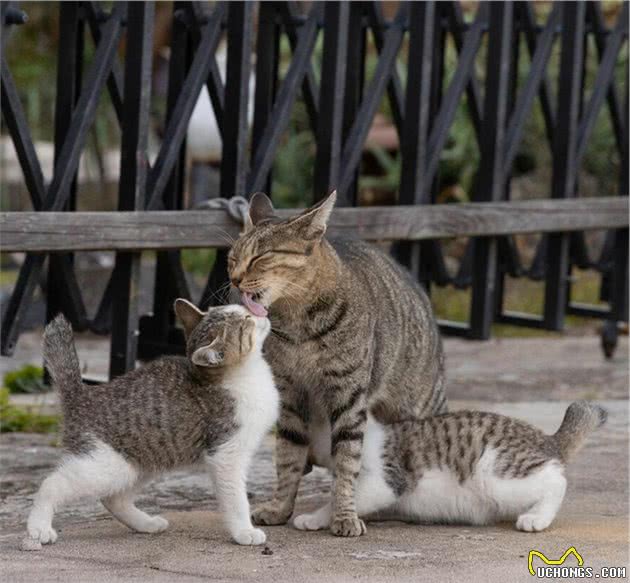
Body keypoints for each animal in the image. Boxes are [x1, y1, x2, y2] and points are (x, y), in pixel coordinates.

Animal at [23, 302, 278, 552]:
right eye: (245, 320)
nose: (260, 313)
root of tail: (82, 395)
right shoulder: (225, 454)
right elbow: (236, 498)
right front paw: (244, 531)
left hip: (145, 460)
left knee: (113, 499)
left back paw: (145, 524)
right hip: (106, 466)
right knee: (52, 484)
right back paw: (39, 527)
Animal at [230, 193, 446, 540]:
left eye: (261, 257)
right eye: (232, 258)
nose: (234, 279)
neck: (297, 327)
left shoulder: (348, 397)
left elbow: (347, 461)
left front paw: (344, 515)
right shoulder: (290, 398)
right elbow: (288, 458)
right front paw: (280, 508)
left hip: (416, 409)